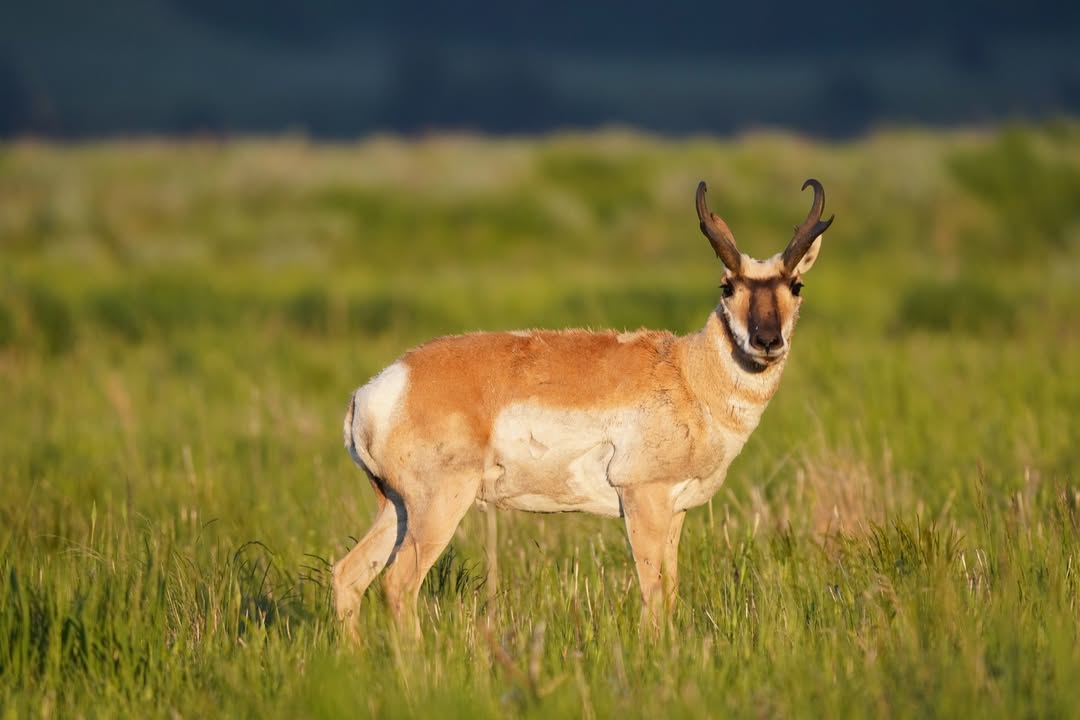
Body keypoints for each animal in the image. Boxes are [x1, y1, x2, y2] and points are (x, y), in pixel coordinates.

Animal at [334, 179, 834, 636]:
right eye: (727, 286)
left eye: (796, 284)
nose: (767, 341)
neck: (686, 372)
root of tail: (376, 389)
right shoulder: (643, 499)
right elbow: (653, 594)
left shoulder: (677, 511)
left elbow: (670, 593)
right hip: (438, 505)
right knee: (398, 584)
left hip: (396, 507)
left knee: (348, 575)